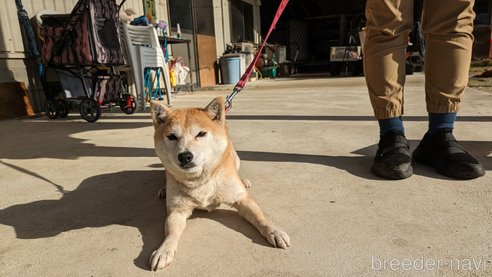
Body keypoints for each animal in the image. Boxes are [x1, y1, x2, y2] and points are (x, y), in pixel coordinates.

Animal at [148, 96, 290, 270]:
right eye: (172, 136)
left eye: (201, 134)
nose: (185, 156)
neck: (201, 180)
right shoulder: (176, 211)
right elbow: (171, 233)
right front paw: (164, 250)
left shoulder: (242, 199)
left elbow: (260, 218)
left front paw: (273, 231)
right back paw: (164, 188)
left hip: (235, 158)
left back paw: (243, 180)